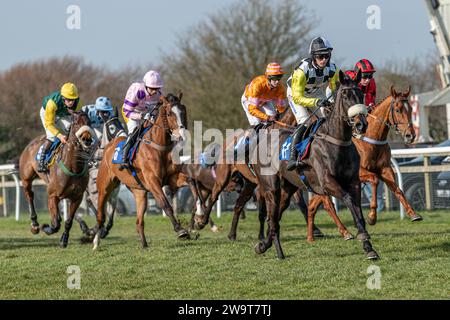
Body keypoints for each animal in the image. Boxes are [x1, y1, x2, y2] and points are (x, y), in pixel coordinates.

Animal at [18, 111, 96, 249]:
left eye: (89, 122)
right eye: (76, 123)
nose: (87, 139)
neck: (73, 166)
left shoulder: (77, 197)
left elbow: (68, 221)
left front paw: (64, 240)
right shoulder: (52, 195)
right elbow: (55, 224)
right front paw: (46, 227)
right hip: (26, 178)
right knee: (30, 195)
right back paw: (35, 224)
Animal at [92, 94, 189, 250]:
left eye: (183, 111)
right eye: (169, 113)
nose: (182, 134)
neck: (159, 146)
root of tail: (108, 146)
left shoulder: (173, 178)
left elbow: (191, 182)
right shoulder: (153, 182)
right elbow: (166, 205)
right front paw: (180, 230)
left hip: (139, 192)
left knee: (139, 221)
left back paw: (144, 244)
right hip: (104, 187)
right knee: (100, 215)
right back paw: (96, 241)